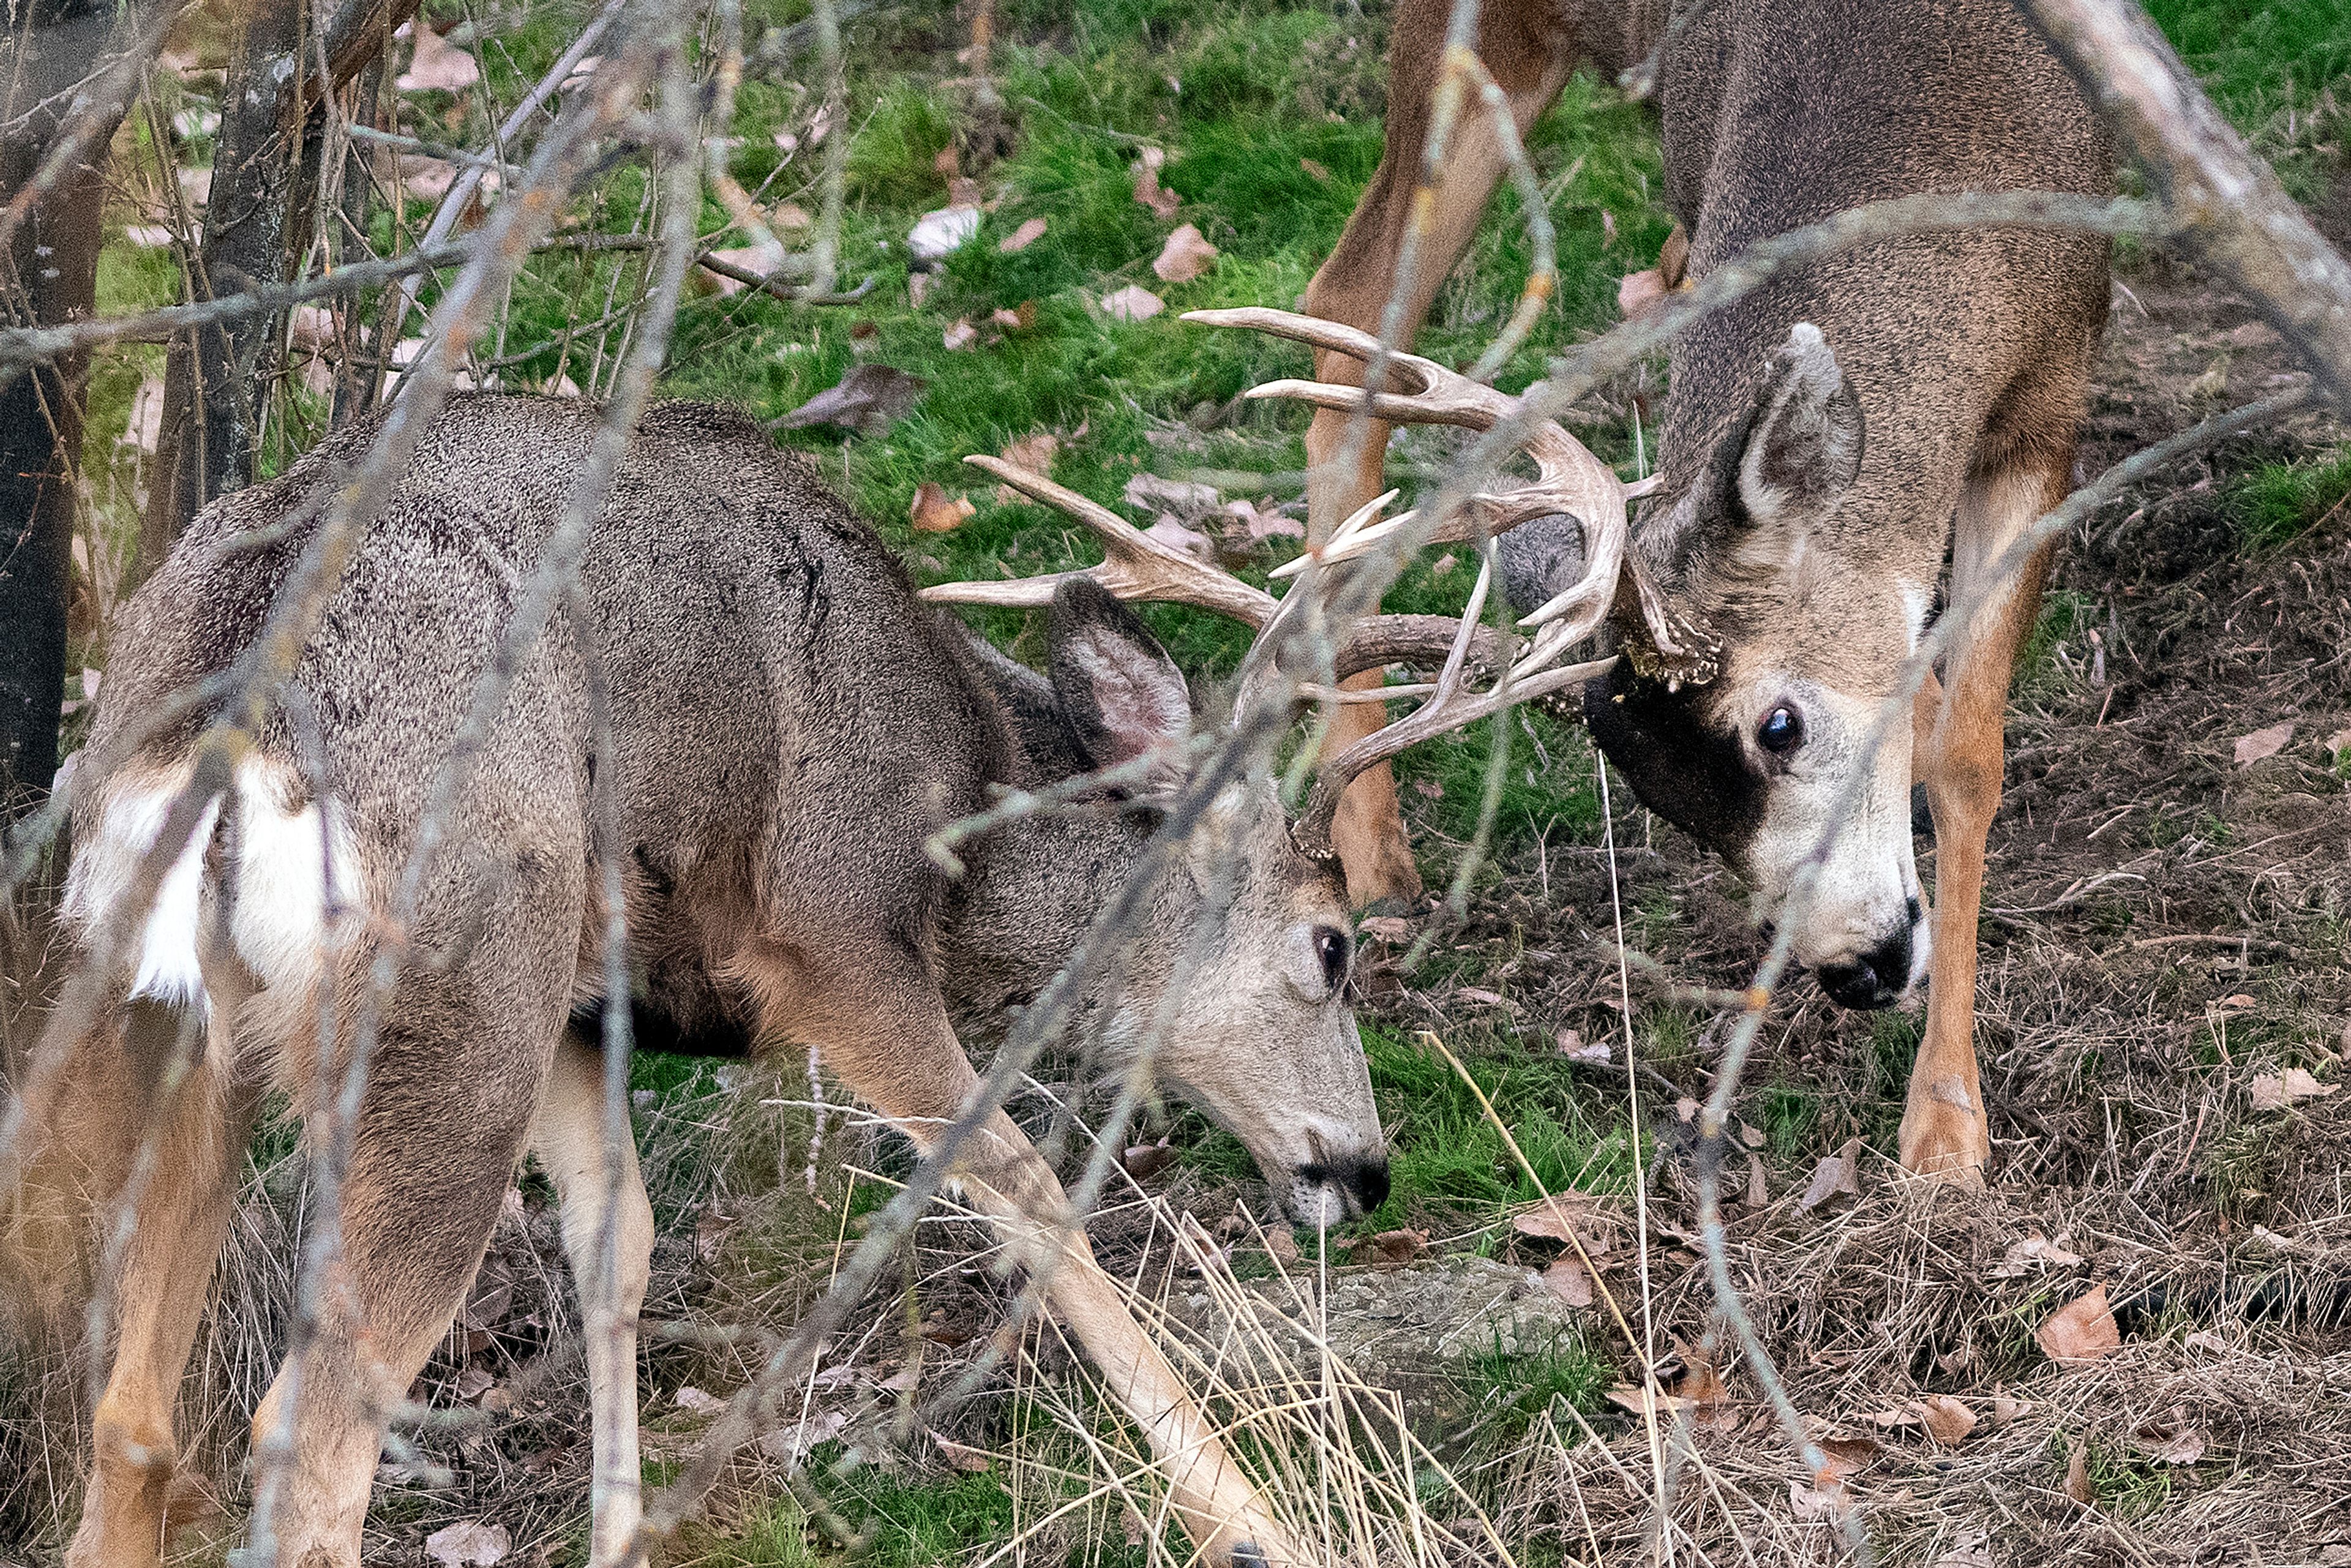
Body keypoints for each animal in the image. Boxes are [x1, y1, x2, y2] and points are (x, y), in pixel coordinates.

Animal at [9, 306, 1646, 1568]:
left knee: (135, 1409)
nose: (1361, 1166)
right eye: (1329, 943)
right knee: (305, 1426)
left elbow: (619, 1238)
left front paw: (623, 1531)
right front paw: (1254, 1519)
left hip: (185, 1000)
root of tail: (229, 702)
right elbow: (1022, 1187)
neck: (966, 790)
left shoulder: (591, 991)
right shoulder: (828, 929)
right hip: (448, 987)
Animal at [1307, 0, 2116, 1175]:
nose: (1859, 970)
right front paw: (1948, 1115)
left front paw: (1945, 1122)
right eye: (1657, 794)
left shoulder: (2050, 402)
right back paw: (1372, 853)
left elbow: (1967, 750)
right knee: (1353, 311)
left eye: (1779, 725)